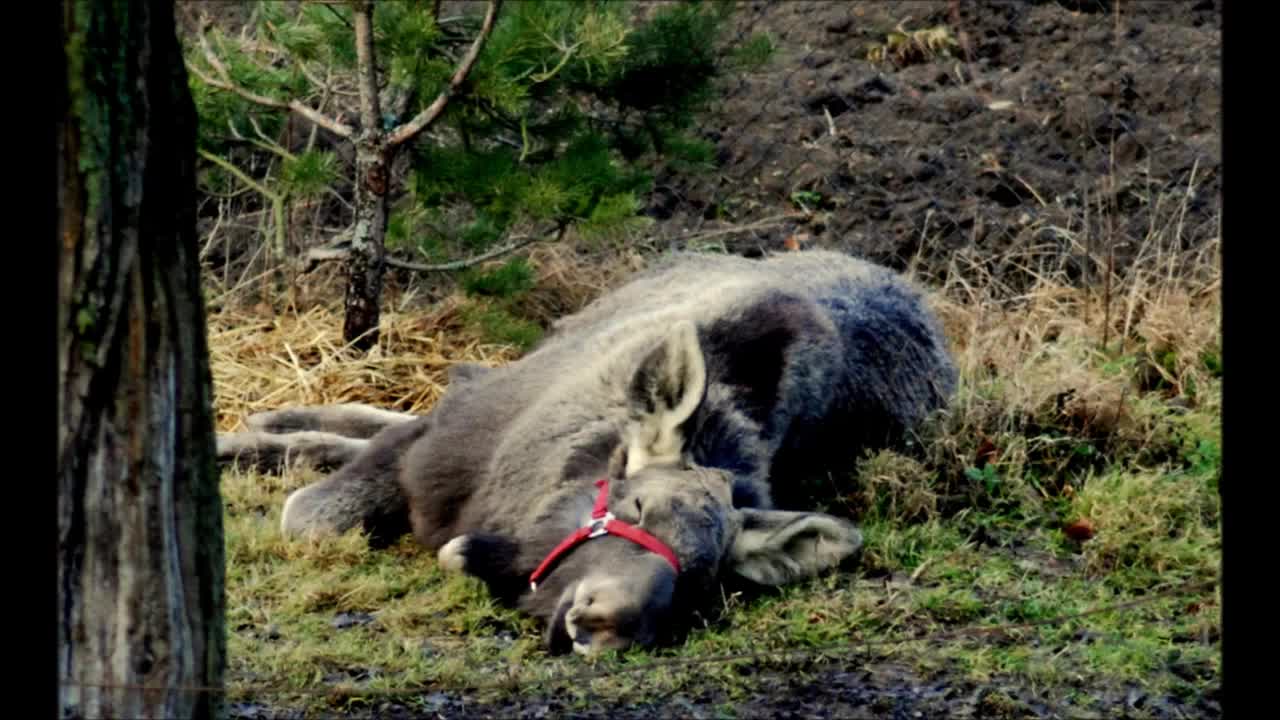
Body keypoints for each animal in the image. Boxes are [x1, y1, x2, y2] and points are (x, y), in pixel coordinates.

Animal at [220, 249, 957, 653]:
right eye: (634, 503)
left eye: (704, 574)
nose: (608, 620)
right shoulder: (441, 443)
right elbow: (312, 516)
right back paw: (258, 426)